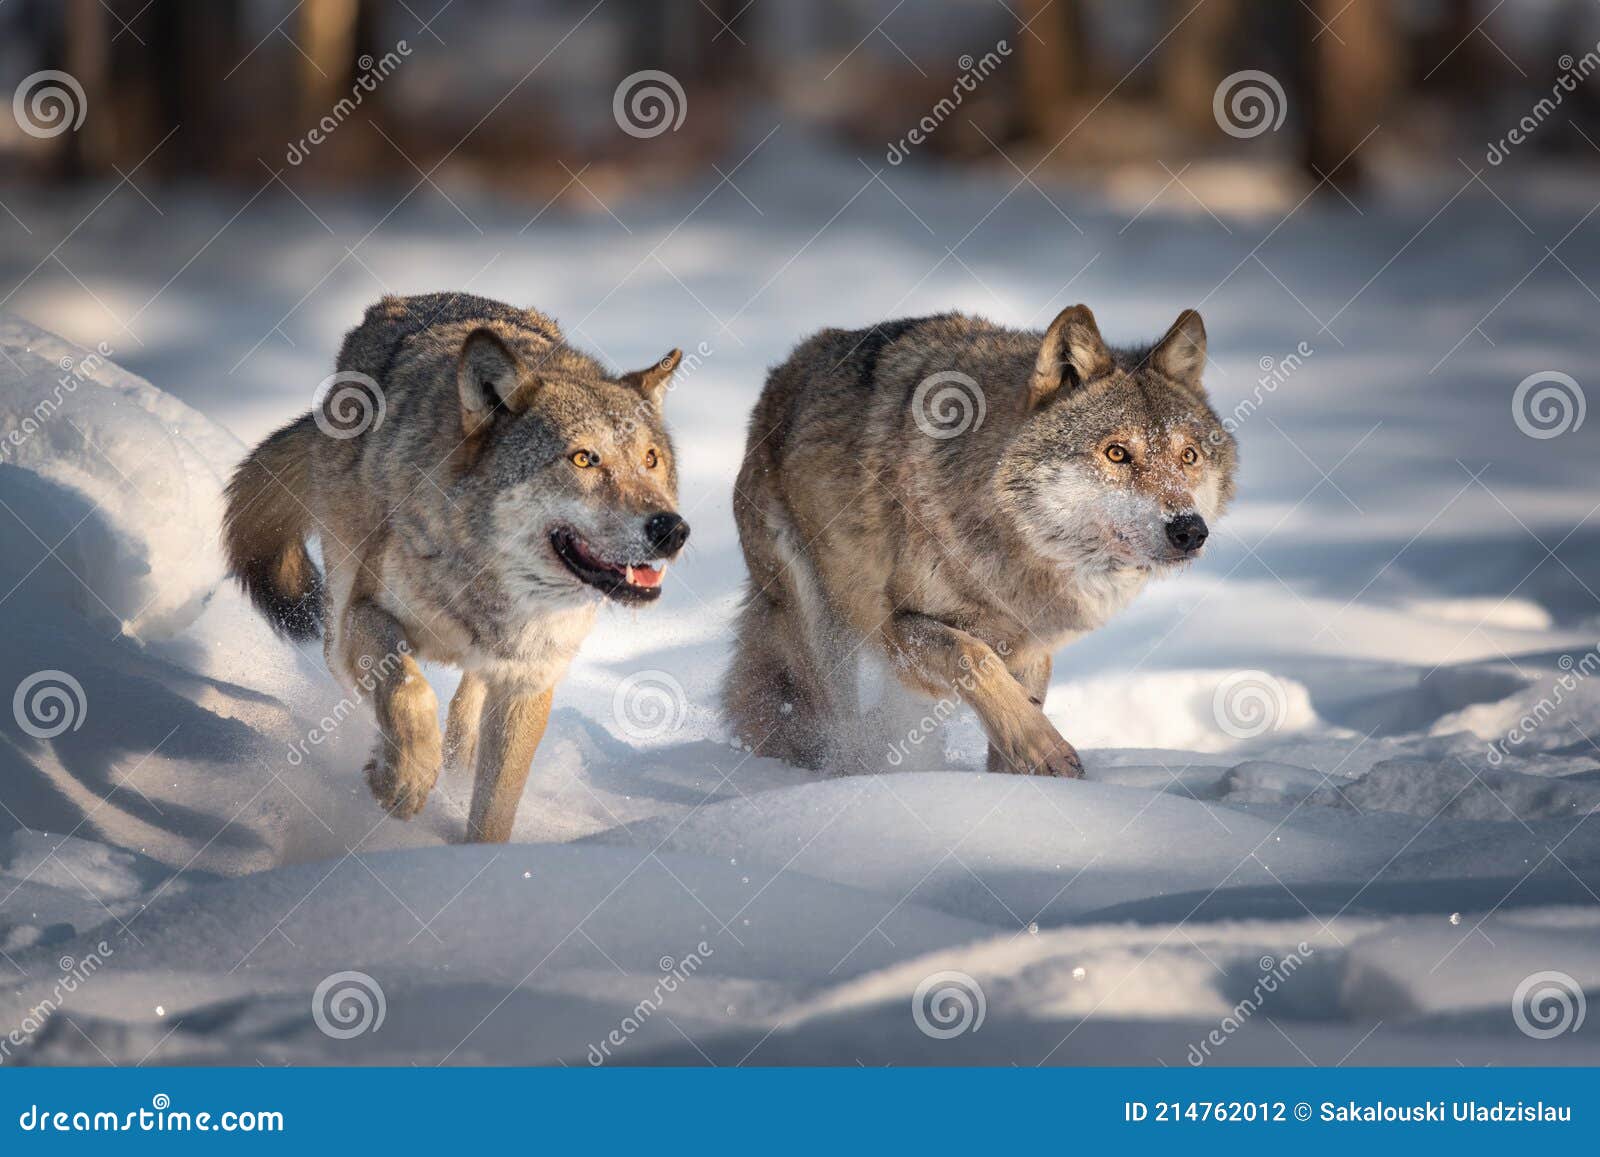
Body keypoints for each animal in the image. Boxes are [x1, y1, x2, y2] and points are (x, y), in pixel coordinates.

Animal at [224, 294, 688, 844]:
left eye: (651, 459)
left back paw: (457, 758)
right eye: (583, 458)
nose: (671, 529)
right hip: (337, 616)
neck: (488, 588)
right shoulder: (366, 613)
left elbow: (496, 806)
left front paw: (473, 854)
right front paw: (403, 780)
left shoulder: (529, 680)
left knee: (467, 702)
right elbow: (407, 691)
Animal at [726, 305, 1235, 777]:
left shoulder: (1033, 647)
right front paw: (1043, 749)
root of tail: (783, 370)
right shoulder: (899, 627)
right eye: (1116, 453)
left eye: (1188, 456)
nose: (1189, 530)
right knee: (835, 726)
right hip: (821, 629)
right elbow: (975, 658)